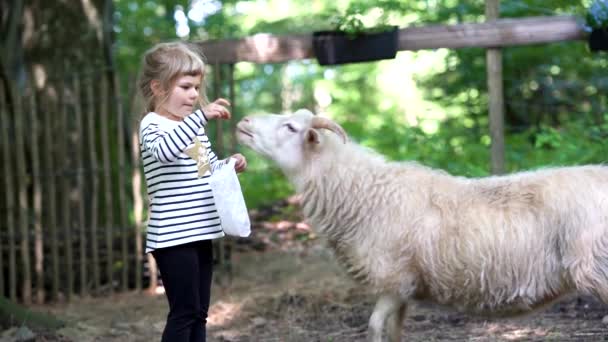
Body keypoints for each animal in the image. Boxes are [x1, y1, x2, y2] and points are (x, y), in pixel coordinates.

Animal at [235, 109, 608, 342]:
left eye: (291, 128)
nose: (244, 121)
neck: (362, 192)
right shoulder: (404, 286)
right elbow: (394, 331)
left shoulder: (392, 278)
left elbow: (373, 328)